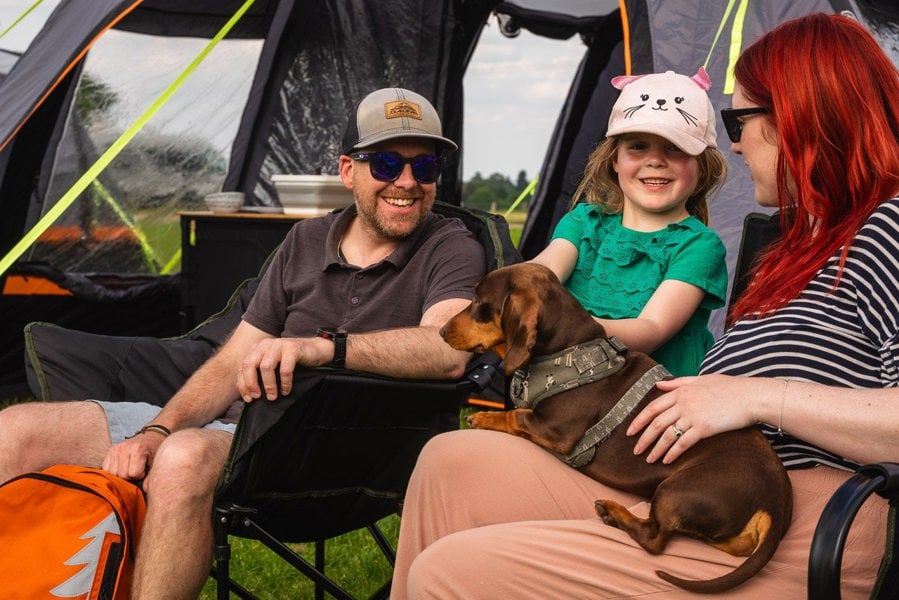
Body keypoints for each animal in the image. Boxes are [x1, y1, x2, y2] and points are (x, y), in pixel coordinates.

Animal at [440, 264, 792, 596]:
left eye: (480, 302)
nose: (441, 331)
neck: (565, 351)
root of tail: (778, 500)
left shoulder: (556, 431)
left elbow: (516, 417)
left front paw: (483, 418)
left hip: (675, 490)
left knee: (655, 540)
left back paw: (613, 512)